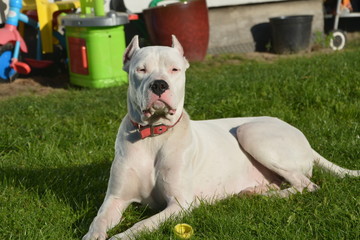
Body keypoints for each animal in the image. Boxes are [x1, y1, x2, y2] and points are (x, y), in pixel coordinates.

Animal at [82, 34, 360, 239]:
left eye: (174, 69)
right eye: (140, 69)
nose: (159, 84)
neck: (154, 136)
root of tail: (300, 134)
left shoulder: (180, 203)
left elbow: (143, 224)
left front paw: (122, 236)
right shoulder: (115, 199)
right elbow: (98, 220)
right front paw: (93, 235)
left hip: (250, 132)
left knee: (307, 185)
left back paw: (264, 196)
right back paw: (257, 190)